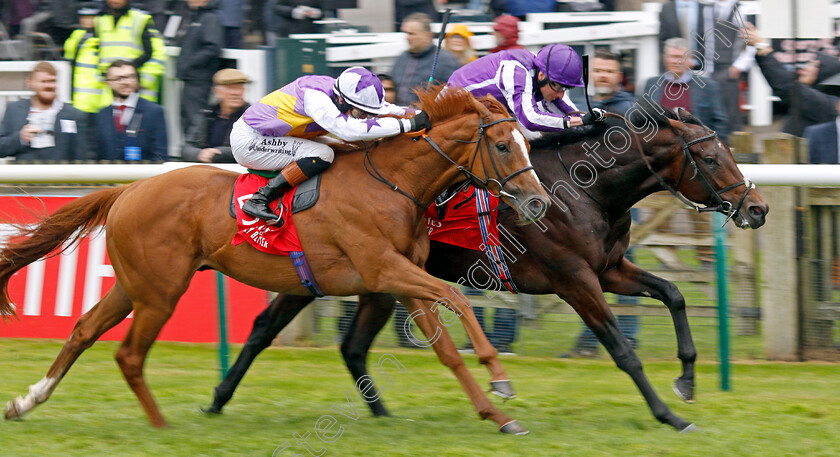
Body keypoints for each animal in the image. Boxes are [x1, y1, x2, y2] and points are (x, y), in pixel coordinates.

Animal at [1, 85, 552, 432]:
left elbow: (446, 349)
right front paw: (498, 376)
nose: (538, 202)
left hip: (135, 285)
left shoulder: (399, 279)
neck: (394, 184)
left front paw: (499, 416)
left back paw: (27, 401)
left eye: (527, 143)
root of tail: (128, 189)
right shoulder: (383, 268)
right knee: (129, 354)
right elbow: (457, 302)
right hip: (160, 293)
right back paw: (160, 425)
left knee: (84, 331)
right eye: (503, 145)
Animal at [203, 102, 768, 432]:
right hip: (336, 275)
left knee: (347, 344)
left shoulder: (608, 268)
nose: (758, 208)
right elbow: (621, 349)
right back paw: (218, 400)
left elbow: (673, 294)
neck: (585, 190)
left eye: (727, 152)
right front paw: (668, 415)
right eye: (711, 159)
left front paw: (687, 381)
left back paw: (375, 414)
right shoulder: (574, 280)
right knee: (266, 329)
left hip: (372, 281)